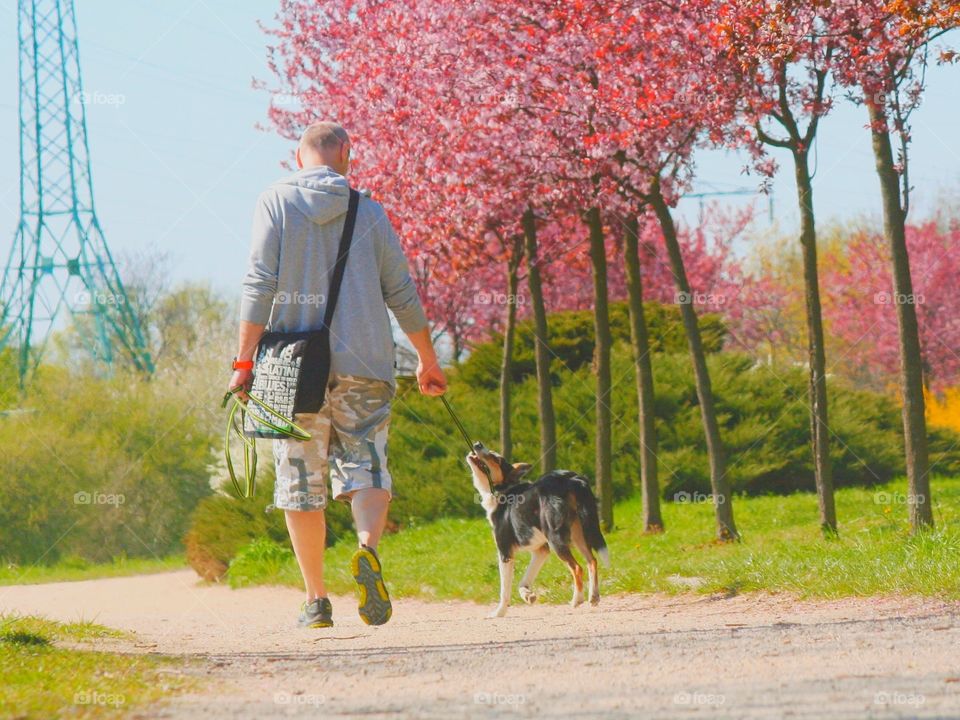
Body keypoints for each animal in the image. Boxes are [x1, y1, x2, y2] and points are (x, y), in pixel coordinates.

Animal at [464, 438, 608, 620]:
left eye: (495, 459)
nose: (477, 444)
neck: (501, 490)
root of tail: (572, 479)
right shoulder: (541, 550)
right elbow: (524, 581)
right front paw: (528, 595)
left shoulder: (505, 553)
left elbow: (504, 591)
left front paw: (499, 613)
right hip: (579, 535)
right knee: (592, 561)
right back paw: (594, 597)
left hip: (556, 539)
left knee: (577, 568)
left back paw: (577, 599)